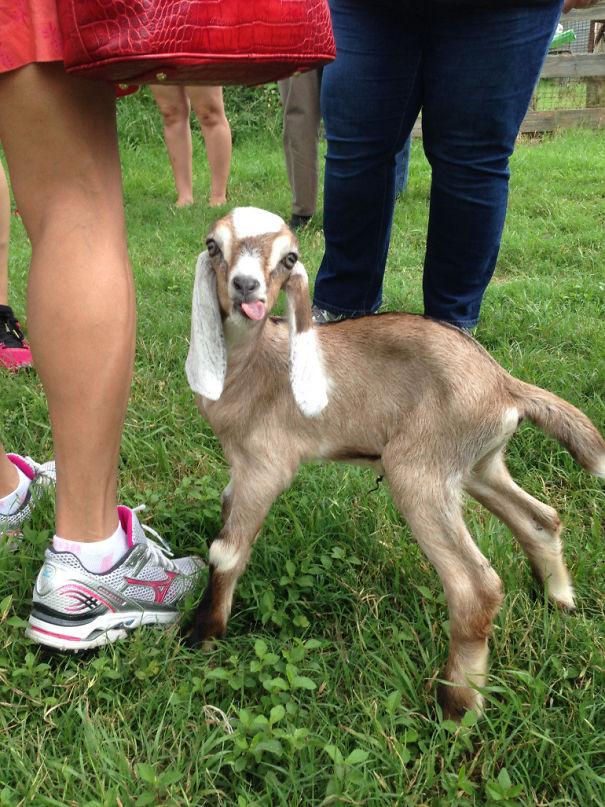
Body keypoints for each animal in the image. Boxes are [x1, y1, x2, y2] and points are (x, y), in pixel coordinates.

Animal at [185, 207, 604, 720]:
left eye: (289, 258)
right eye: (213, 245)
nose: (246, 287)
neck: (251, 369)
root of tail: (505, 386)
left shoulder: (264, 466)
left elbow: (225, 550)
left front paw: (202, 634)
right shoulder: (238, 468)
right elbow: (224, 516)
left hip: (420, 471)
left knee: (476, 587)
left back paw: (458, 706)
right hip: (477, 466)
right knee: (539, 518)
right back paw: (559, 599)